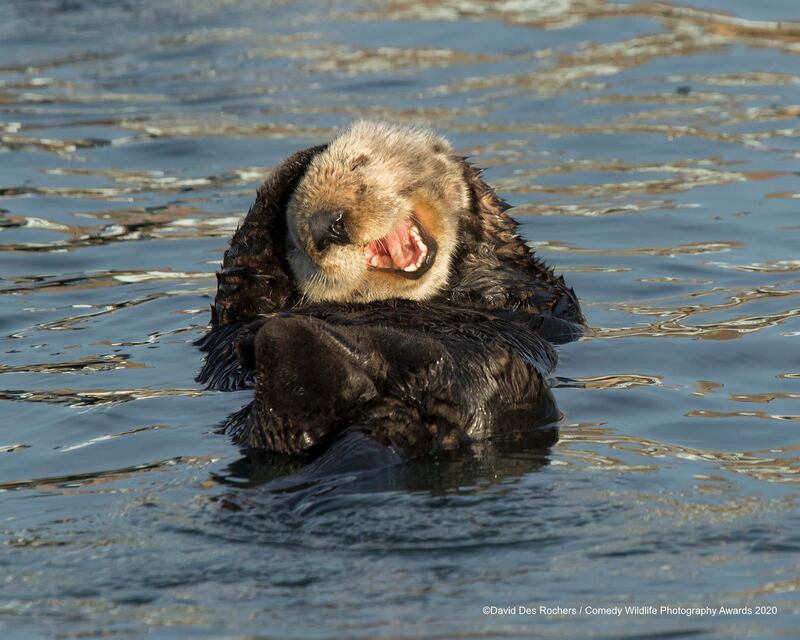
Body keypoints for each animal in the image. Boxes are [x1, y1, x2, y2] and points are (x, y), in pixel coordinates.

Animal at [197, 121, 584, 464]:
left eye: (361, 164)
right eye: (298, 244)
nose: (329, 225)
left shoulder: (537, 291)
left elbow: (512, 280)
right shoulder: (242, 306)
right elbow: (244, 280)